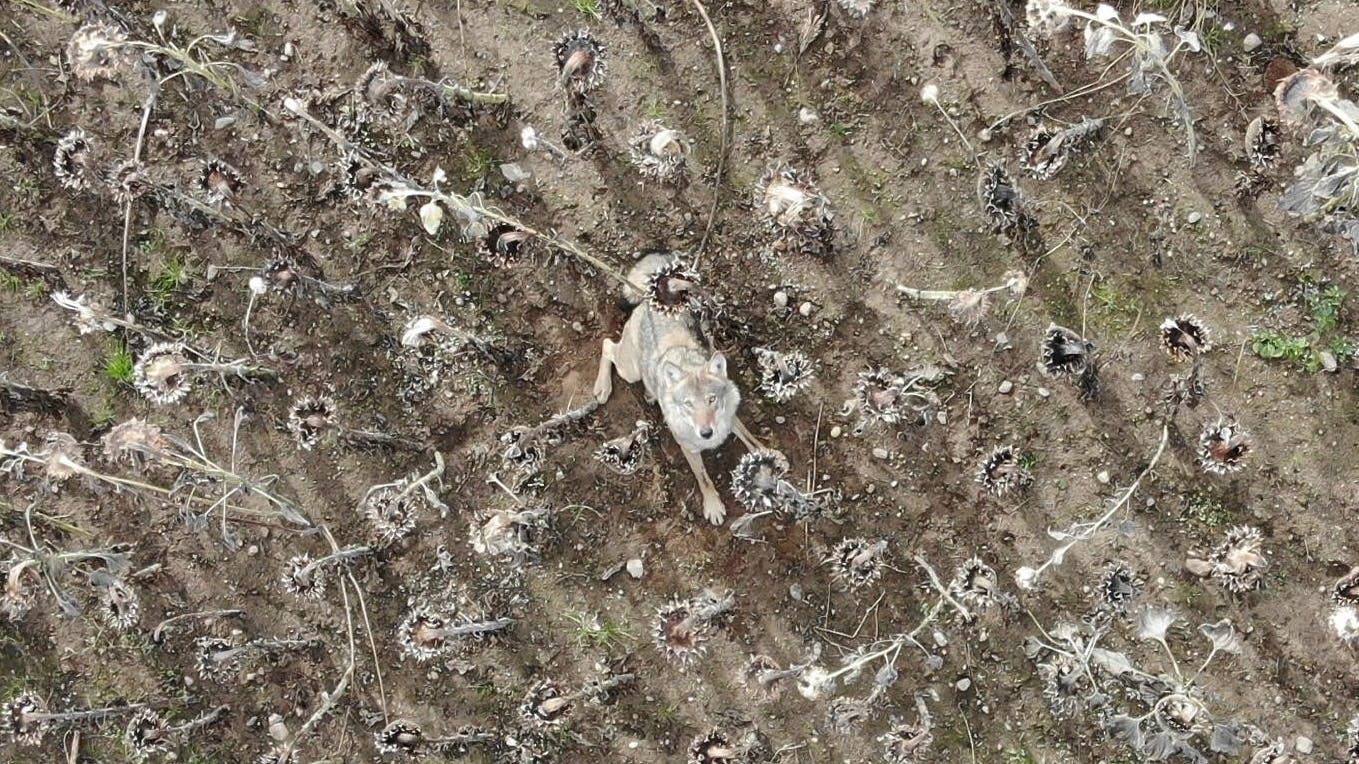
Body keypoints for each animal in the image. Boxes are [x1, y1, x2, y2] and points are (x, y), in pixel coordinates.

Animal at [592, 253, 758, 524]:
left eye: (712, 400)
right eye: (688, 404)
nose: (706, 433)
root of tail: (651, 298)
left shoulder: (731, 419)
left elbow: (753, 441)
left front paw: (775, 459)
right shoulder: (688, 447)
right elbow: (703, 477)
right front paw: (713, 506)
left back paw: (650, 393)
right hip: (630, 370)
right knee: (607, 345)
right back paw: (602, 388)